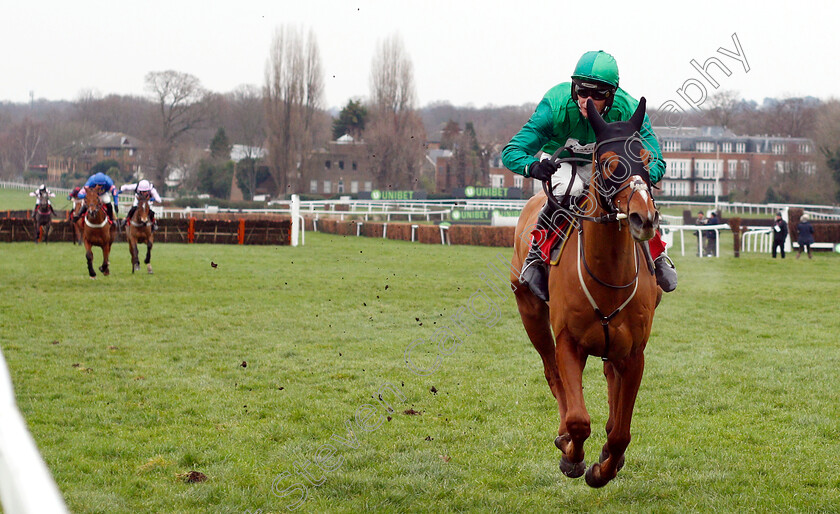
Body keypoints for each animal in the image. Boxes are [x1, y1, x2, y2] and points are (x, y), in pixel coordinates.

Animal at [512, 98, 664, 486]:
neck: (607, 277)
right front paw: (572, 456)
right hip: (530, 312)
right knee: (552, 373)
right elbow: (579, 420)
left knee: (611, 381)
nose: (644, 218)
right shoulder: (569, 342)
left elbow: (622, 431)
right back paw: (564, 436)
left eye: (645, 156)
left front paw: (603, 466)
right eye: (610, 163)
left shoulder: (635, 352)